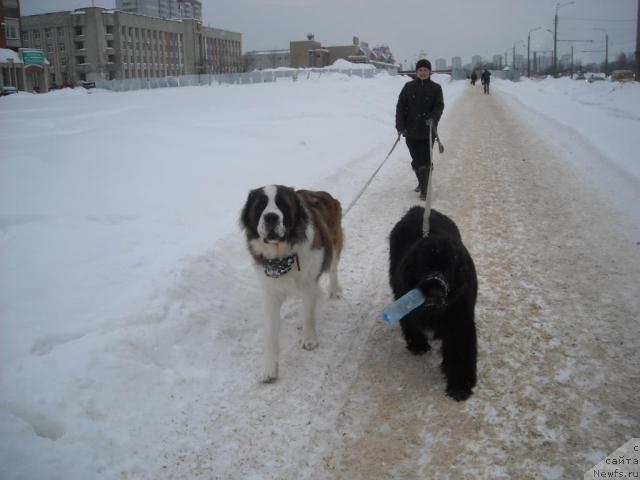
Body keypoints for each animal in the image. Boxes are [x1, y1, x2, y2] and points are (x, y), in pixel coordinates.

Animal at [240, 184, 342, 382]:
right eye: (260, 206)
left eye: (282, 204)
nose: (271, 217)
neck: (282, 256)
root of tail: (323, 193)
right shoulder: (270, 293)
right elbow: (270, 334)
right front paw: (269, 368)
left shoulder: (309, 283)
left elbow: (309, 313)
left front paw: (309, 339)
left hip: (334, 244)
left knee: (333, 269)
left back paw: (334, 290)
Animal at [388, 206, 478, 402]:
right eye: (425, 265)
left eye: (450, 268)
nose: (435, 292)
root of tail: (419, 209)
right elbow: (410, 323)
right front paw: (418, 345)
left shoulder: (461, 320)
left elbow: (461, 352)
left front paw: (459, 386)